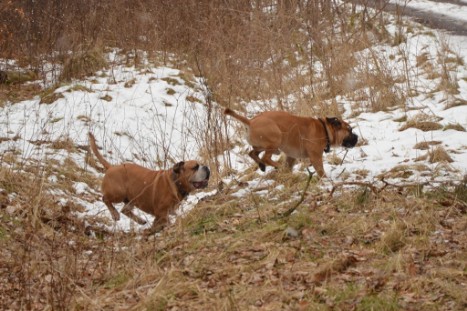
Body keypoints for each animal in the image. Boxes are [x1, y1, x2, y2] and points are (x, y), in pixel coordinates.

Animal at [226, 109, 358, 178]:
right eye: (350, 130)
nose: (357, 137)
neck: (324, 129)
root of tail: (250, 122)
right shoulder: (315, 157)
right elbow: (321, 170)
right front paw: (325, 180)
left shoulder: (291, 157)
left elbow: (289, 165)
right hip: (275, 140)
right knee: (265, 158)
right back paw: (276, 166)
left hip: (262, 145)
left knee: (252, 153)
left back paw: (262, 166)